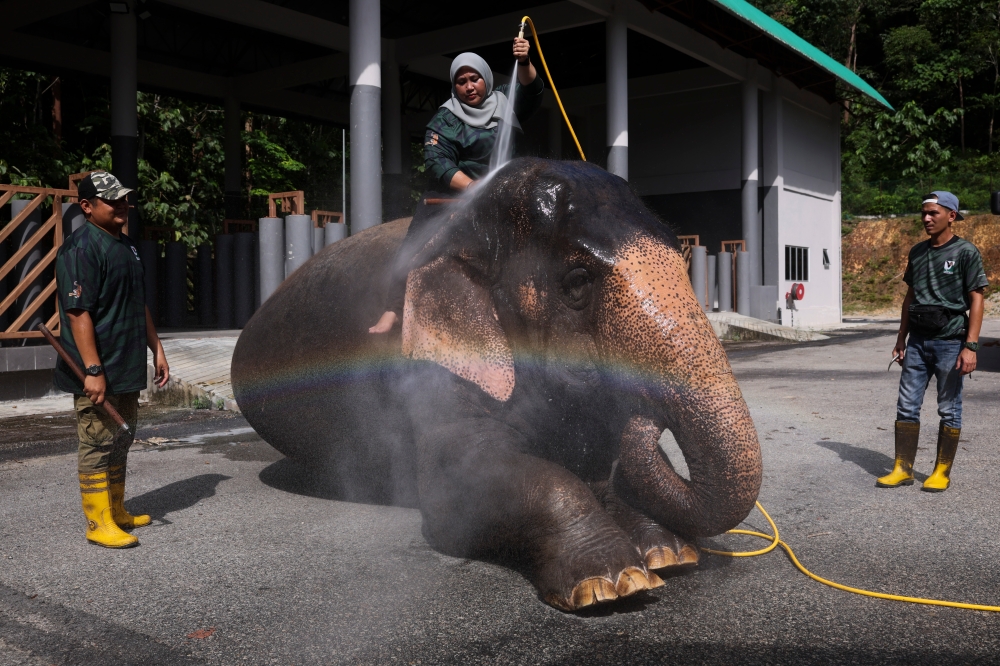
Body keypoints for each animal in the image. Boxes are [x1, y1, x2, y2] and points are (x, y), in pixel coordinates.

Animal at [232, 158, 764, 608]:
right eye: (577, 280)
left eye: (683, 259)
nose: (645, 417)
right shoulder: (435, 370)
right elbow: (467, 485)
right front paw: (613, 582)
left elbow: (607, 466)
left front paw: (670, 555)